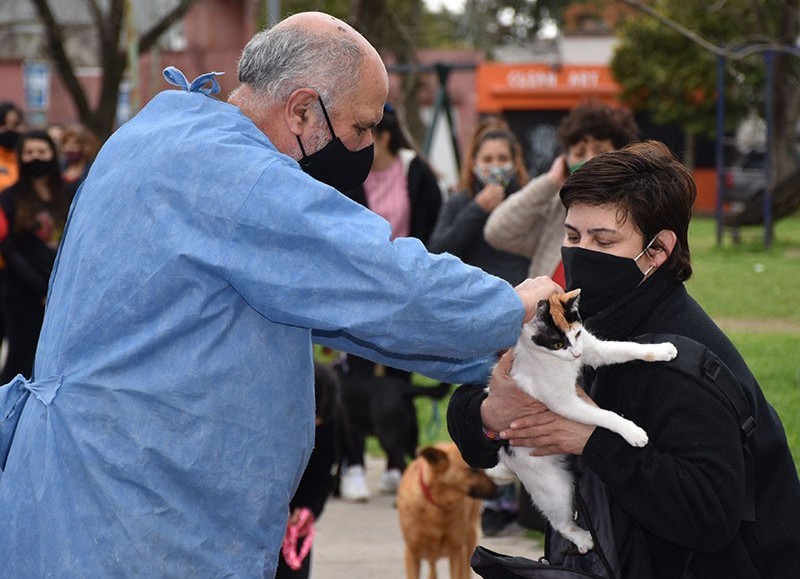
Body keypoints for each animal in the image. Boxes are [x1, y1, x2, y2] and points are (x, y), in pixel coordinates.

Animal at [500, 288, 676, 552]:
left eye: (577, 333)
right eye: (557, 343)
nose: (576, 354)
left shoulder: (594, 349)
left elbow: (627, 348)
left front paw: (662, 350)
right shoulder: (563, 402)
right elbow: (605, 415)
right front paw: (633, 432)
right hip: (553, 486)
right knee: (560, 523)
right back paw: (583, 539)